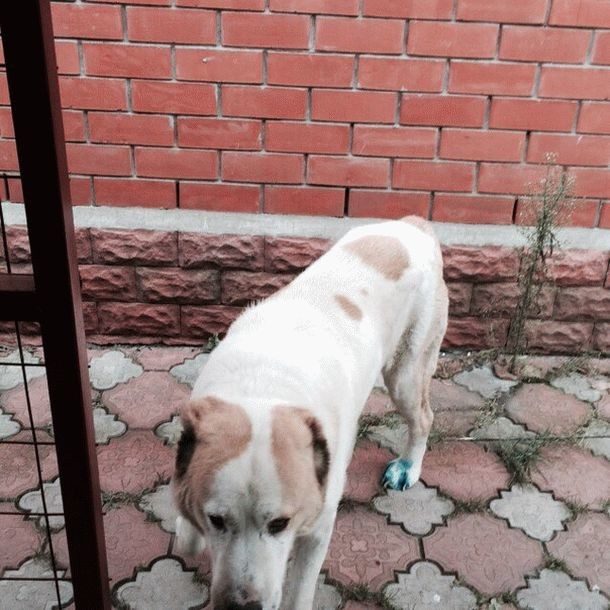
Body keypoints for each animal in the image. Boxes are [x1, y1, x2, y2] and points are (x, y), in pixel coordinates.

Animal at [172, 216, 448, 610]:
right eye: (217, 520)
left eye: (279, 524)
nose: (242, 606)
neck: (264, 386)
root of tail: (415, 225)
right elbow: (186, 532)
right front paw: (188, 528)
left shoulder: (318, 525)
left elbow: (300, 591)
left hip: (406, 373)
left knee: (424, 417)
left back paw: (407, 468)